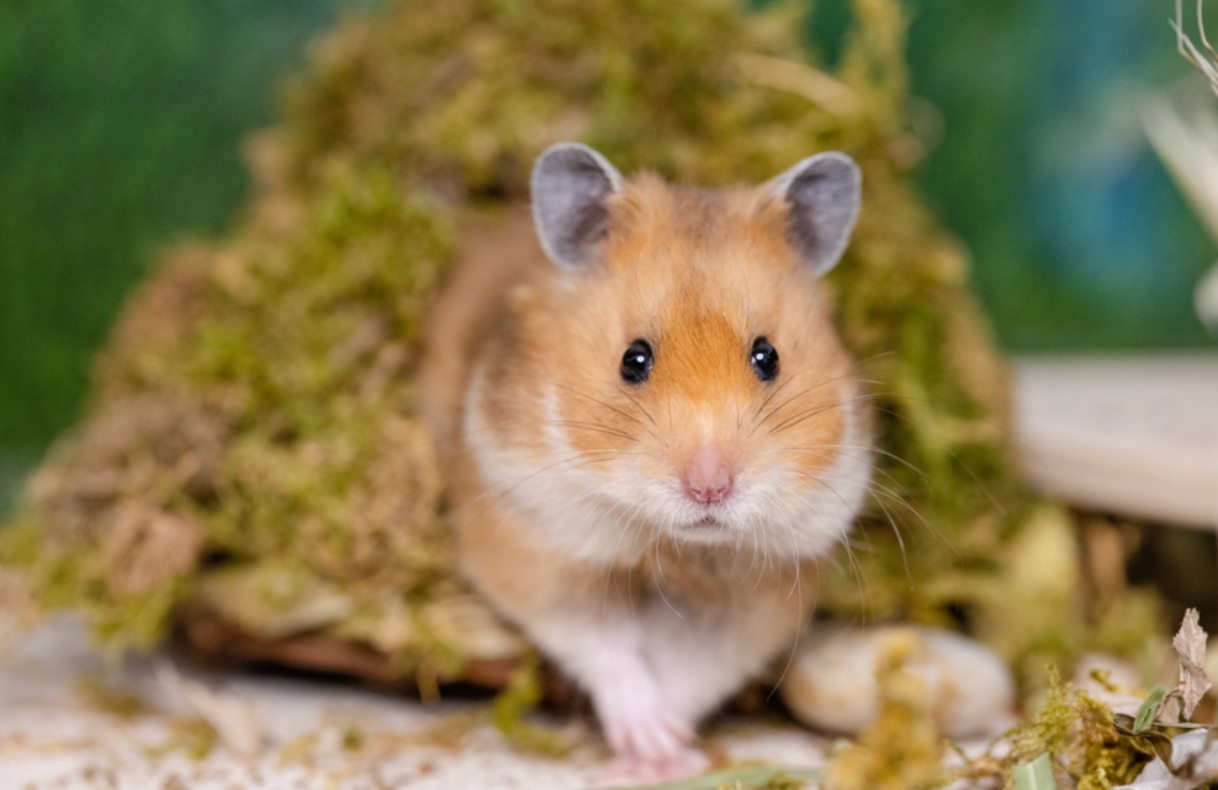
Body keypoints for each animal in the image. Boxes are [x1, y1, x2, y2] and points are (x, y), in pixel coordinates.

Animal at [421, 142, 873, 780]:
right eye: (633, 359)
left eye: (769, 357)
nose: (709, 488)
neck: (673, 545)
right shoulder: (538, 549)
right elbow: (606, 649)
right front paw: (642, 747)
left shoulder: (754, 601)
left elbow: (690, 673)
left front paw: (671, 756)